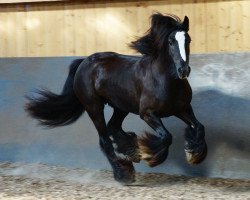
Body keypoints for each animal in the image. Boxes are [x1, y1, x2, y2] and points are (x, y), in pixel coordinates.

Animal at [25, 13, 207, 184]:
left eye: (188, 40)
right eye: (170, 41)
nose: (183, 70)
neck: (165, 80)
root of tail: (84, 62)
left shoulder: (182, 108)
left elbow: (199, 127)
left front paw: (194, 155)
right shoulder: (148, 113)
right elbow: (166, 136)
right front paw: (150, 156)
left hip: (121, 107)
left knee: (113, 127)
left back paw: (131, 153)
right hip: (94, 108)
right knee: (104, 140)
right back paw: (124, 174)